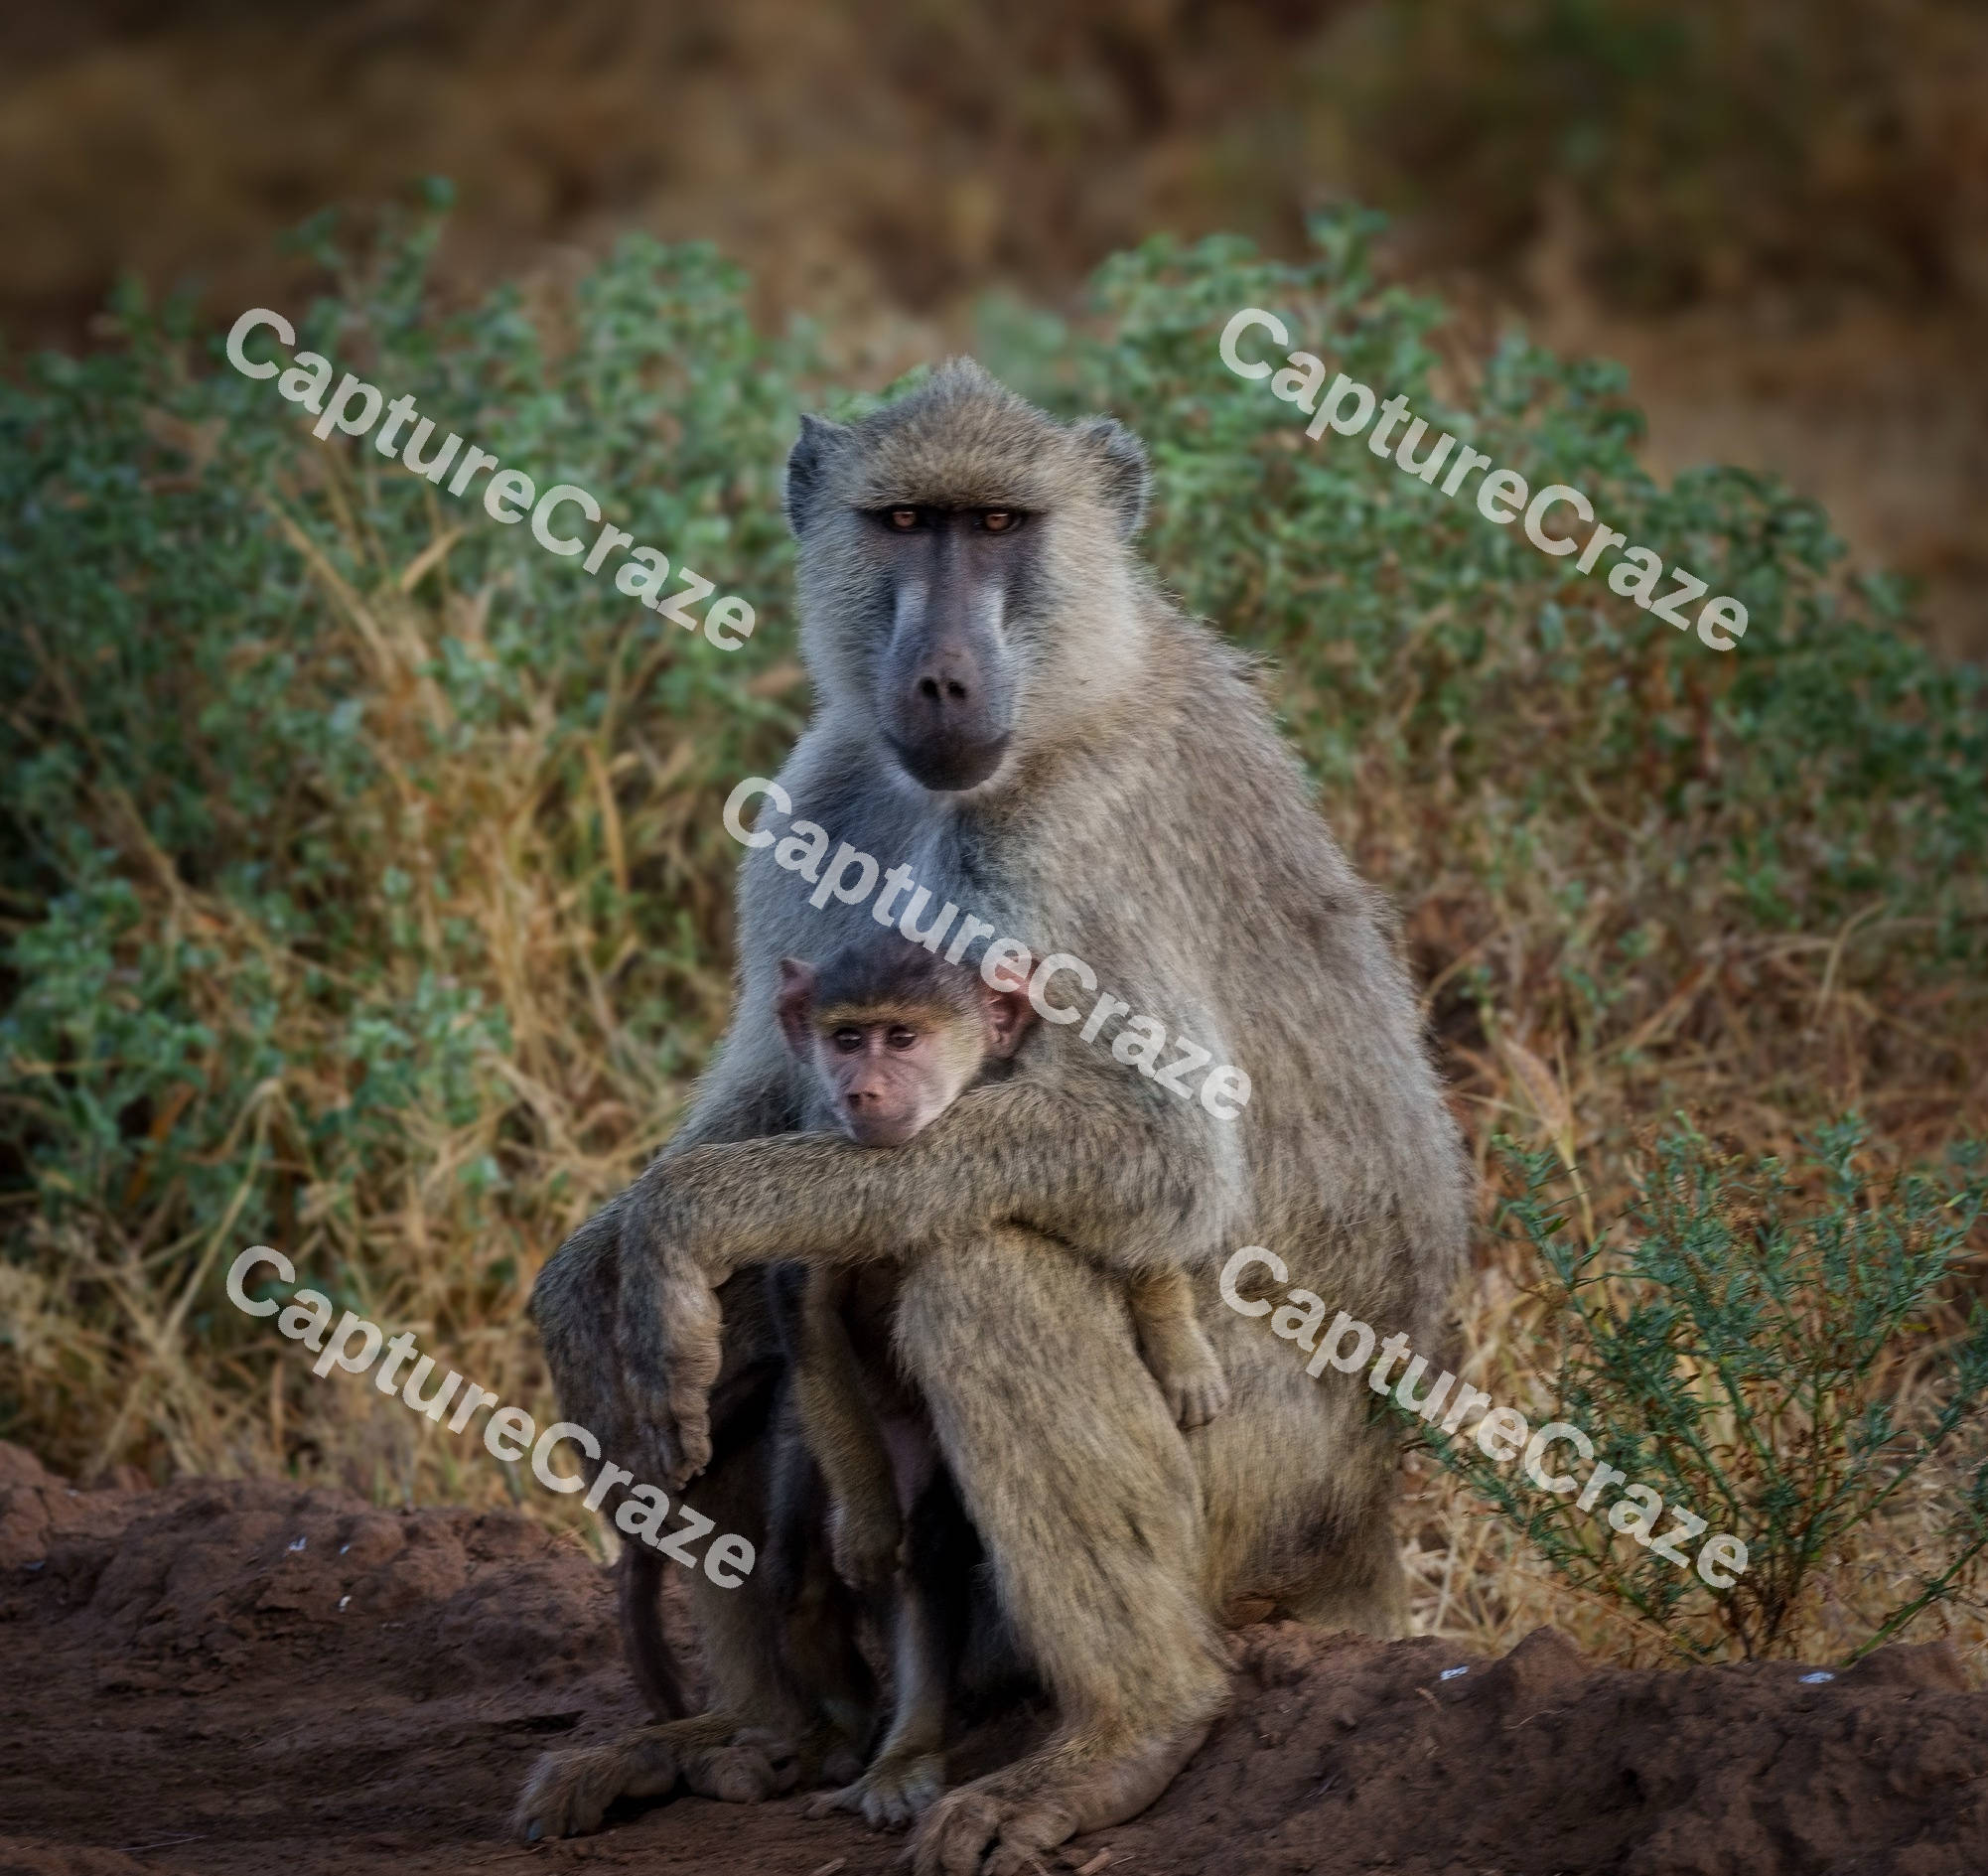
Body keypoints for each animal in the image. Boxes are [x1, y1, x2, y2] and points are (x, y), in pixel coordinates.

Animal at [516, 359, 1471, 1876]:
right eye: (907, 522)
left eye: (1000, 525)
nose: (943, 678)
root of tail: (1367, 1522)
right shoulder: (827, 789)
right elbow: (772, 1090)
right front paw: (584, 1270)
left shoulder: (1072, 837)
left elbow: (1161, 1152)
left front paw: (672, 1221)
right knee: (741, 1336)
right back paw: (751, 1734)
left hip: (1253, 1495)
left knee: (983, 1266)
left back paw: (1127, 1729)